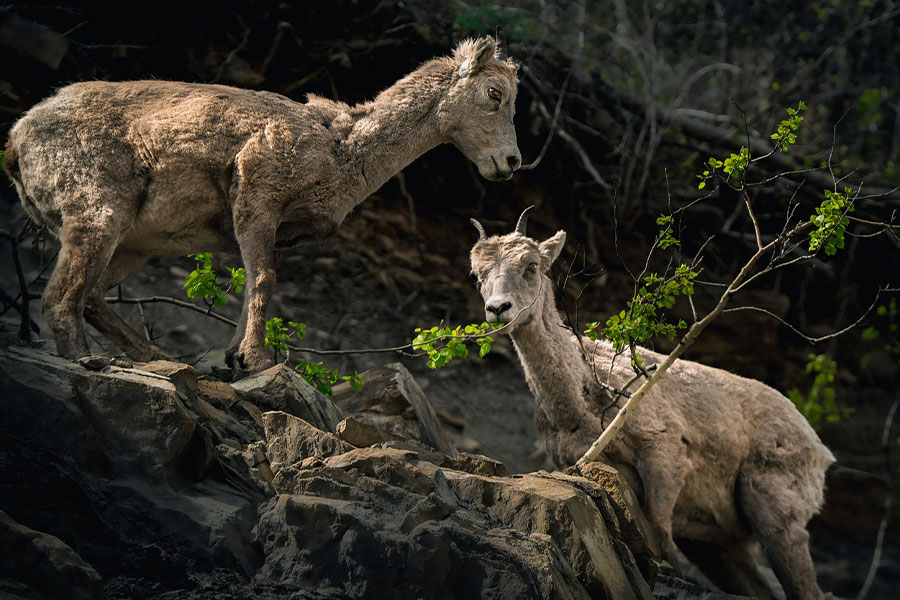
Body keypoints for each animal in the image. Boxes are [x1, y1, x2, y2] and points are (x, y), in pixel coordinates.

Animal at [4, 36, 520, 372]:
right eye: (494, 94)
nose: (511, 161)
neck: (342, 151)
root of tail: (17, 139)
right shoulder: (257, 199)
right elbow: (266, 281)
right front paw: (253, 359)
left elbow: (254, 282)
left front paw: (230, 359)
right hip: (97, 215)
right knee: (60, 299)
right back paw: (88, 360)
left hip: (133, 246)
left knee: (90, 297)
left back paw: (159, 358)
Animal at [468, 208, 835, 600]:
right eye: (478, 274)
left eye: (532, 265)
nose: (498, 309)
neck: (578, 402)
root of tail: (820, 451)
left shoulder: (663, 454)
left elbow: (662, 541)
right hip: (717, 546)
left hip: (776, 517)